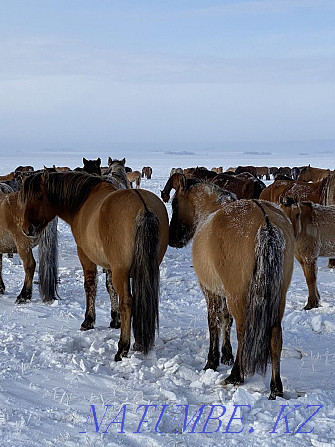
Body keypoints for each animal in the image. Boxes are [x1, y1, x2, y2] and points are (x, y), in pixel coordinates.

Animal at [19, 170, 169, 362]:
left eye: (39, 196)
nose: (27, 229)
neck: (83, 200)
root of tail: (143, 208)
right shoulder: (110, 266)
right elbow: (110, 288)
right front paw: (115, 319)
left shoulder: (85, 255)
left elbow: (91, 286)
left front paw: (88, 321)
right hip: (146, 270)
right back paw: (139, 342)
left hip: (122, 271)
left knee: (127, 302)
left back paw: (122, 347)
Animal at [169, 177, 296, 400]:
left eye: (175, 203)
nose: (172, 238)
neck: (210, 209)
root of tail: (266, 222)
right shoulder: (223, 291)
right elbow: (225, 320)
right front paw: (226, 354)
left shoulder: (210, 290)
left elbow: (214, 321)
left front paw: (212, 360)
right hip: (278, 297)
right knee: (275, 335)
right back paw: (276, 387)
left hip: (238, 296)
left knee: (243, 331)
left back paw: (236, 375)